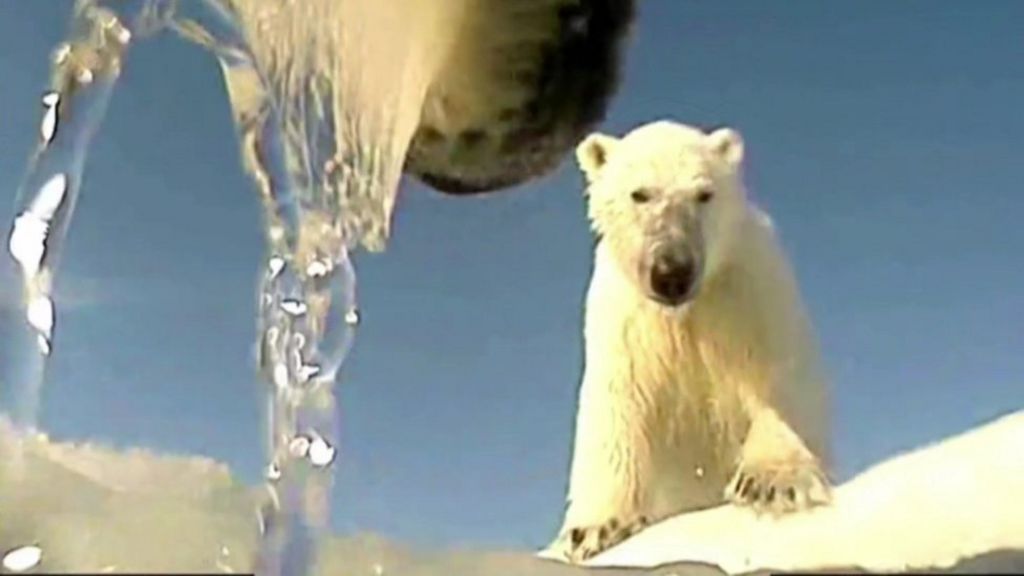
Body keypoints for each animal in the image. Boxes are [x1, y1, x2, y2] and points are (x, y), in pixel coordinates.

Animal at [549, 121, 832, 564]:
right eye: (640, 193)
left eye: (704, 194)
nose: (672, 272)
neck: (683, 313)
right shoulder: (622, 318)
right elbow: (615, 405)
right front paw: (593, 529)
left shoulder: (749, 290)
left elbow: (777, 375)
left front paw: (774, 482)